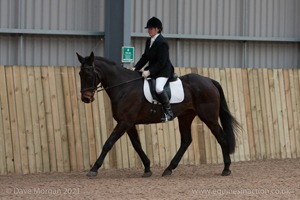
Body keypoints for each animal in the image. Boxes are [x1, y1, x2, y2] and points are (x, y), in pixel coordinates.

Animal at [76, 52, 240, 178]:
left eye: (89, 74)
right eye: (80, 74)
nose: (86, 98)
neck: (124, 86)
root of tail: (209, 81)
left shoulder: (125, 122)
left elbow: (108, 143)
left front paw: (93, 169)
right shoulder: (129, 123)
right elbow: (137, 145)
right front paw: (147, 168)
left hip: (208, 117)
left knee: (221, 137)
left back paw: (226, 169)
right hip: (186, 116)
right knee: (186, 140)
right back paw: (168, 169)